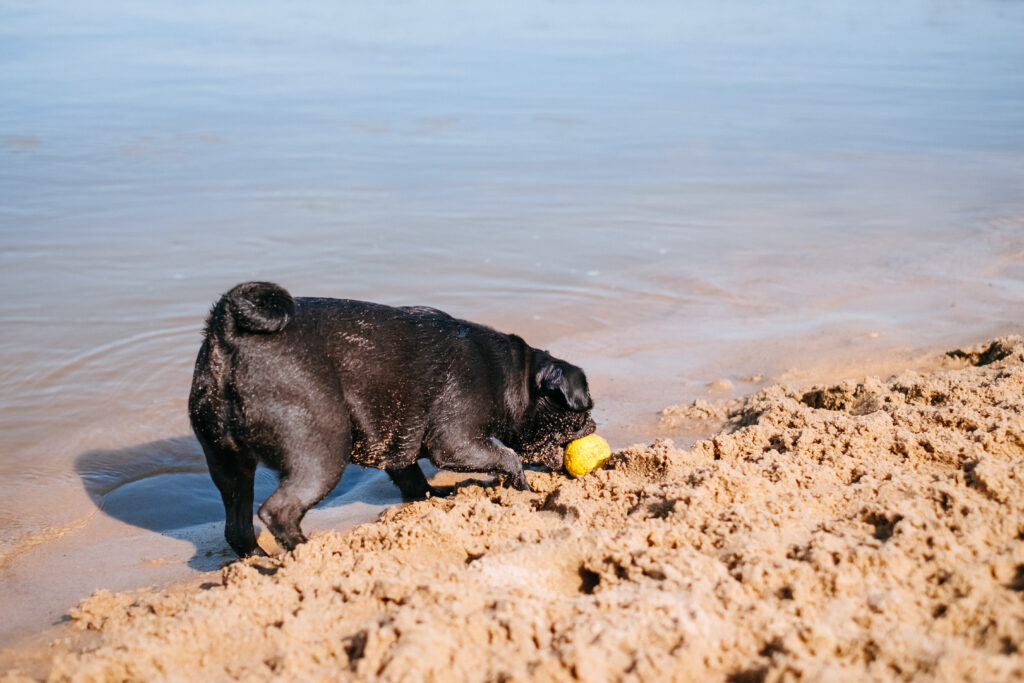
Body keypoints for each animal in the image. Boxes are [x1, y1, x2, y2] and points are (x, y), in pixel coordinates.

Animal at [188, 282, 598, 557]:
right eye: (581, 413)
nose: (594, 425)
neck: (512, 376)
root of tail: (228, 335)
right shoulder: (455, 442)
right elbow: (508, 457)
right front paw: (524, 488)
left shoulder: (400, 439)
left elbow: (411, 478)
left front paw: (435, 496)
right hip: (320, 452)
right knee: (279, 512)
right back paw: (308, 554)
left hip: (228, 463)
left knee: (238, 525)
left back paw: (258, 561)